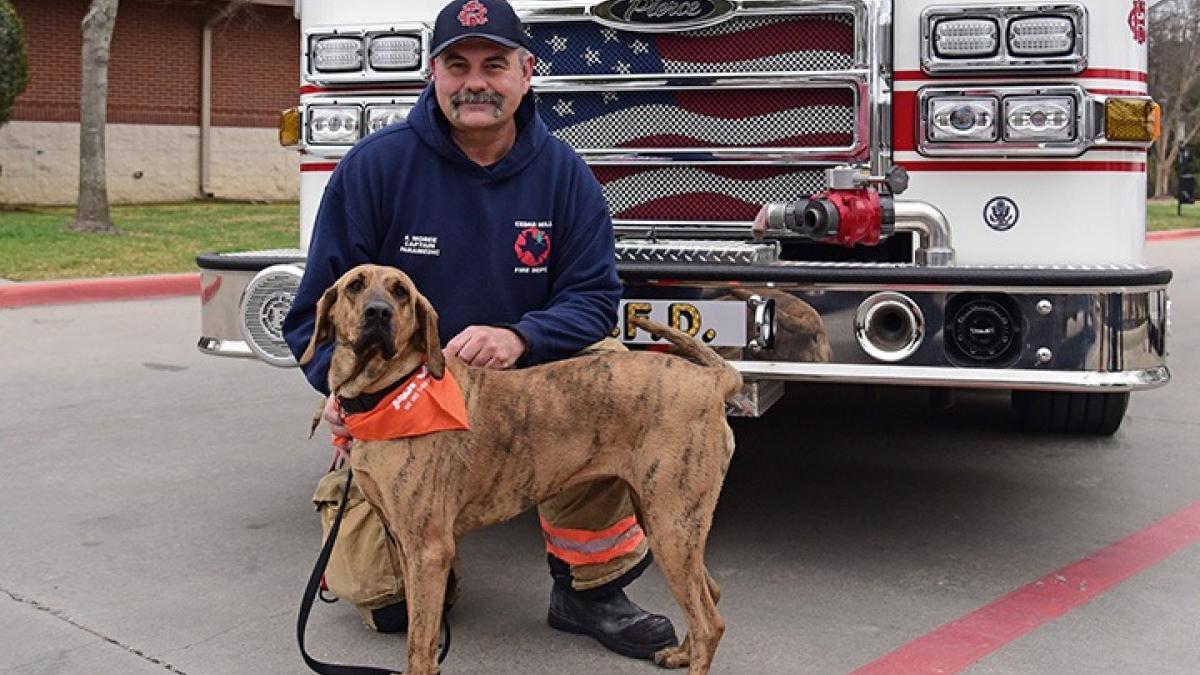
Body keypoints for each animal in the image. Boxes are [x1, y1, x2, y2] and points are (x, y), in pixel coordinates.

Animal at [302, 263, 739, 672]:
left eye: (401, 292)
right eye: (355, 285)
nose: (378, 313)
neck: (391, 391)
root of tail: (712, 380)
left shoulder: (427, 549)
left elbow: (420, 645)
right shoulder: (406, 546)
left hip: (671, 525)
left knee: (710, 623)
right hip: (664, 520)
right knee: (711, 593)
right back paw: (681, 653)